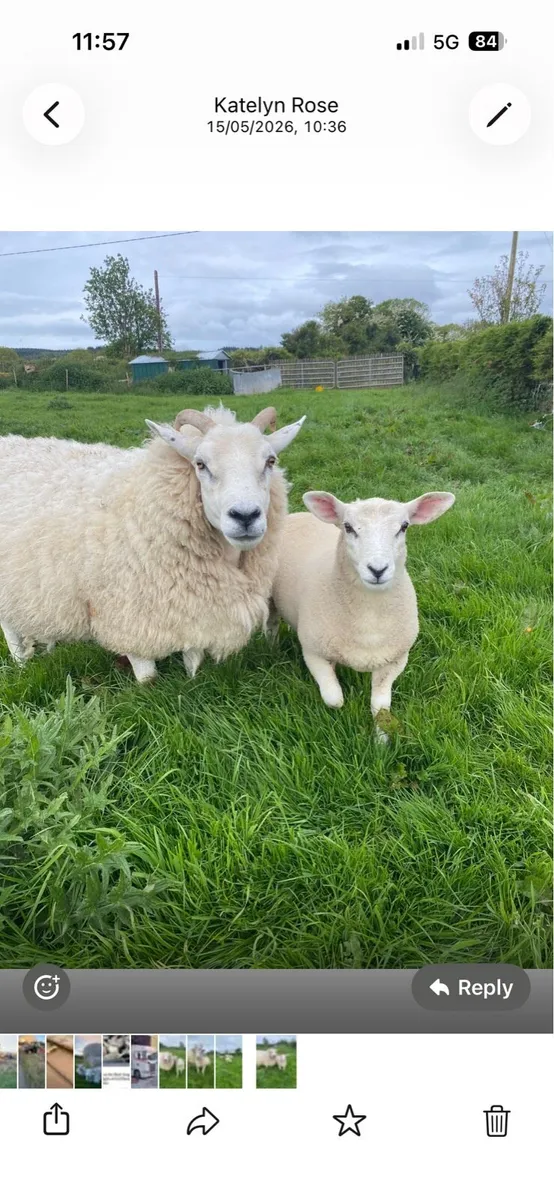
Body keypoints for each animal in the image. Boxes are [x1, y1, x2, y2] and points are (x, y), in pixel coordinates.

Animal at [0, 405, 305, 683]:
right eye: (200, 464)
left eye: (271, 461)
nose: (245, 516)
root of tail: (9, 440)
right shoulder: (129, 615)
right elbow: (147, 677)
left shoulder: (196, 607)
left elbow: (193, 661)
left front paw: (192, 682)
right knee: (8, 628)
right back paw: (20, 663)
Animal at [271, 489, 455, 740]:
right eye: (348, 527)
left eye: (404, 526)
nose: (377, 570)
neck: (369, 617)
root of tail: (299, 514)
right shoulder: (313, 652)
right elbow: (334, 699)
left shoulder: (395, 659)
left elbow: (380, 707)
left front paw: (382, 740)